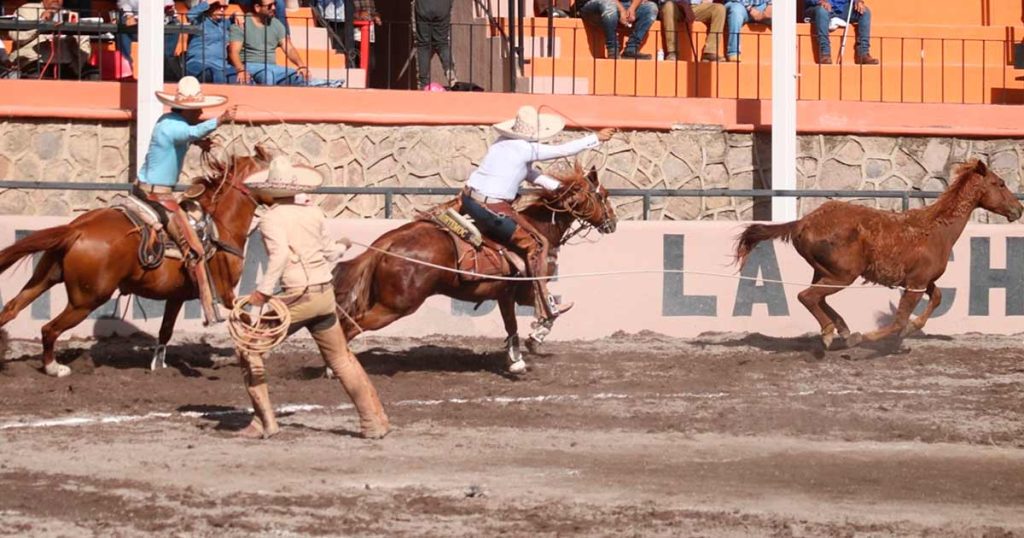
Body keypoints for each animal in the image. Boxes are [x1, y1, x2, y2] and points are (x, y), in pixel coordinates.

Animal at [0, 146, 268, 373]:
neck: (219, 226)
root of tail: (77, 229)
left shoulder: (176, 296)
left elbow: (166, 329)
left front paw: (158, 364)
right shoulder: (225, 293)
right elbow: (247, 318)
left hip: (45, 277)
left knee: (11, 309)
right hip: (85, 301)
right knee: (49, 329)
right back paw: (54, 368)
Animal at [333, 163, 614, 370]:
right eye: (603, 195)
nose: (612, 222)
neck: (539, 227)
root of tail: (387, 241)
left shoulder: (505, 294)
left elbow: (511, 324)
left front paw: (515, 360)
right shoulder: (526, 287)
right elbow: (548, 306)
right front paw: (537, 337)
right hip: (396, 305)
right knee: (349, 326)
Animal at [737, 158, 1024, 352]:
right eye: (1000, 183)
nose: (1018, 209)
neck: (936, 228)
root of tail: (802, 222)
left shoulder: (921, 281)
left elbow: (938, 297)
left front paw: (911, 327)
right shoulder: (916, 284)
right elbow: (898, 321)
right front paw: (869, 337)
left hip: (825, 272)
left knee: (817, 297)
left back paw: (842, 328)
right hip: (843, 276)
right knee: (807, 296)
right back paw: (831, 332)